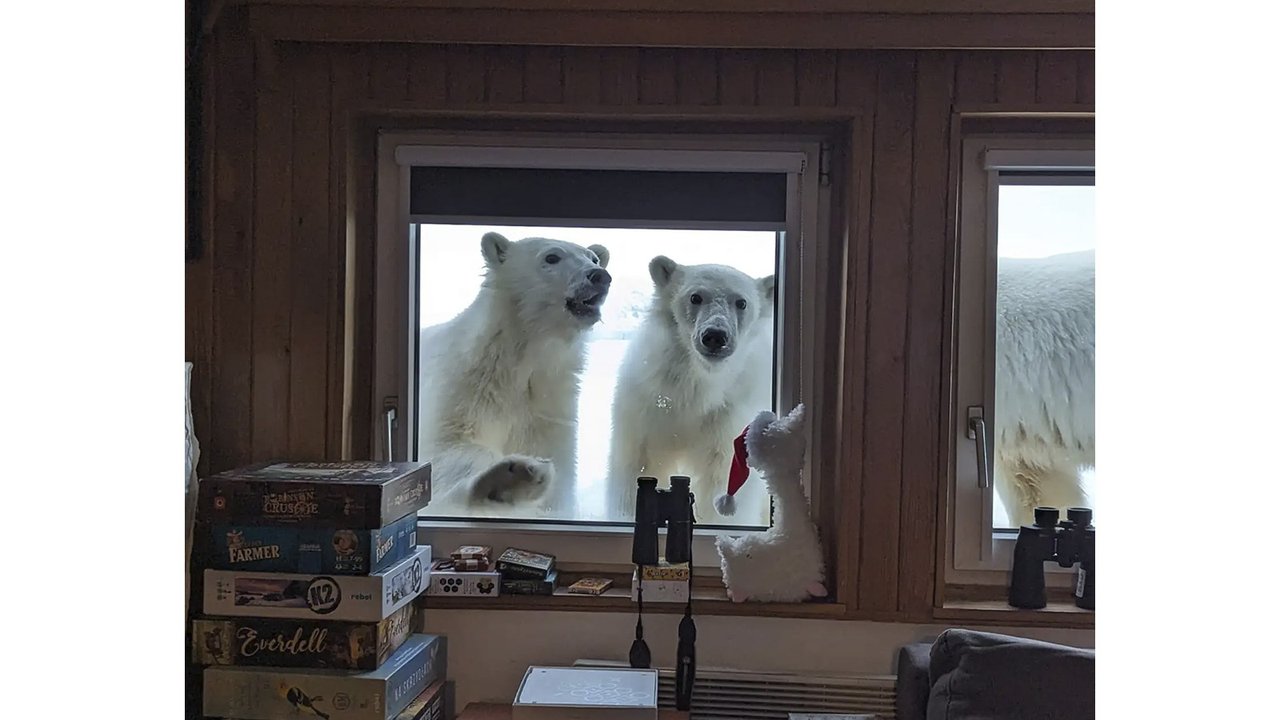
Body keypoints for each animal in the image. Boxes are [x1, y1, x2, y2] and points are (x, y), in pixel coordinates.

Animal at [606, 253, 773, 520]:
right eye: (695, 297)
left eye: (742, 302)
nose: (715, 336)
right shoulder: (648, 401)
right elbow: (638, 464)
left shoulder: (729, 415)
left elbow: (722, 476)